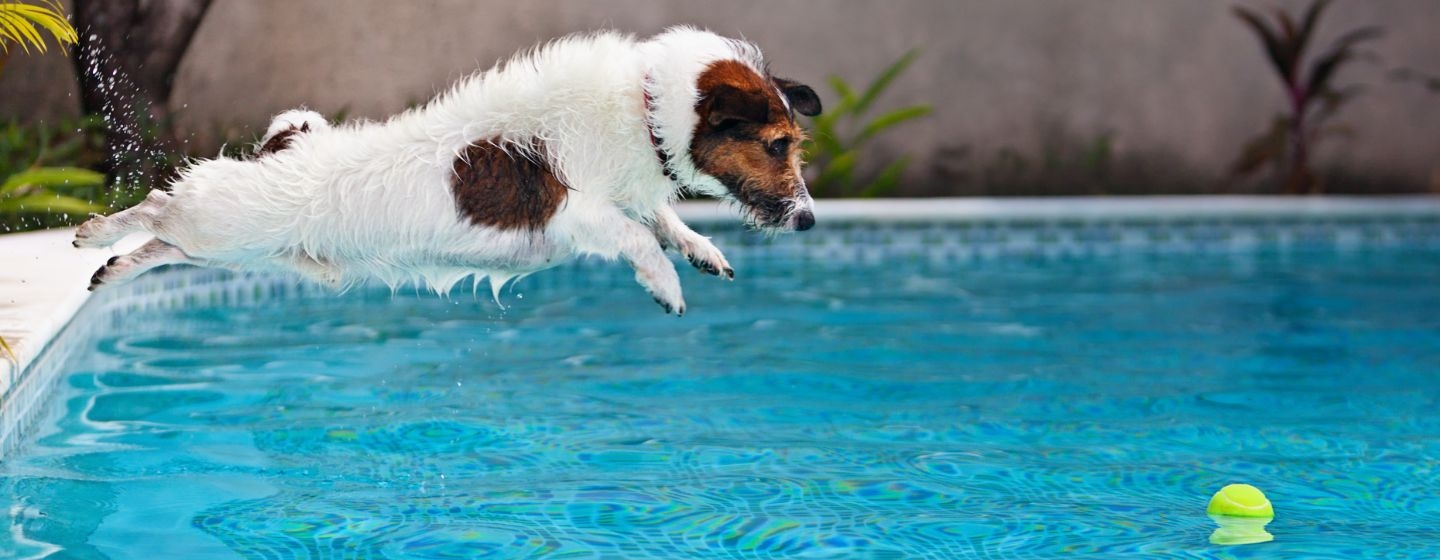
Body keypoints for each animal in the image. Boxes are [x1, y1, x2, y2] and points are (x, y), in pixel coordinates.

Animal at [73, 28, 823, 313]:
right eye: (776, 146)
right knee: (157, 207)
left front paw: (701, 249)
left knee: (162, 246)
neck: (645, 108)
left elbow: (663, 218)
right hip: (221, 221)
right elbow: (637, 235)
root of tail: (282, 149)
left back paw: (113, 267)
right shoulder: (574, 209)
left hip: (245, 251)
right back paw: (94, 233)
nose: (811, 220)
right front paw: (666, 283)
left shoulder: (629, 193)